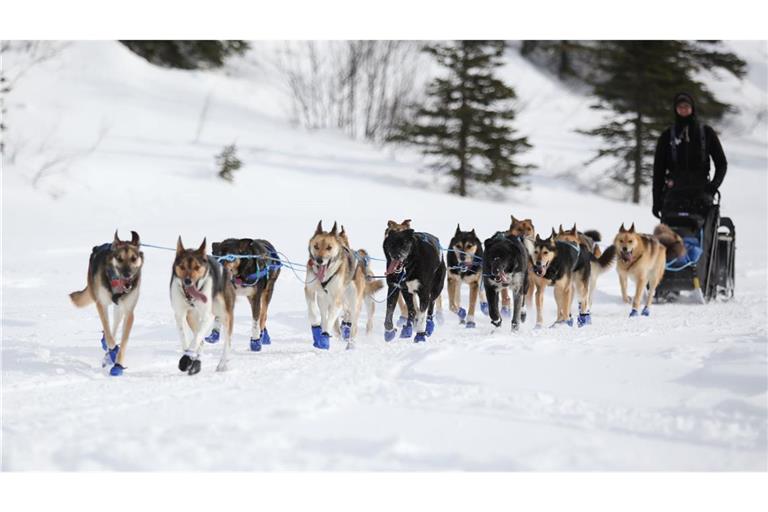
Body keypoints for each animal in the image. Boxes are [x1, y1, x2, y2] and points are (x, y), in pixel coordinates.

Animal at [69, 232, 144, 376]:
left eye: (133, 258)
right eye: (119, 259)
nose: (127, 275)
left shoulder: (129, 312)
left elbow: (123, 341)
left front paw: (118, 364)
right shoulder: (101, 304)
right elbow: (108, 333)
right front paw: (113, 350)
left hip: (119, 310)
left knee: (114, 326)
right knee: (109, 330)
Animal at [170, 238, 234, 374]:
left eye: (197, 267)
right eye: (182, 266)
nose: (188, 281)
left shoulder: (208, 315)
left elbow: (197, 337)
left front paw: (187, 358)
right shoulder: (179, 314)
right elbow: (185, 338)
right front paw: (188, 357)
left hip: (225, 315)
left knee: (227, 341)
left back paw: (222, 364)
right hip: (191, 316)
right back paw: (196, 361)